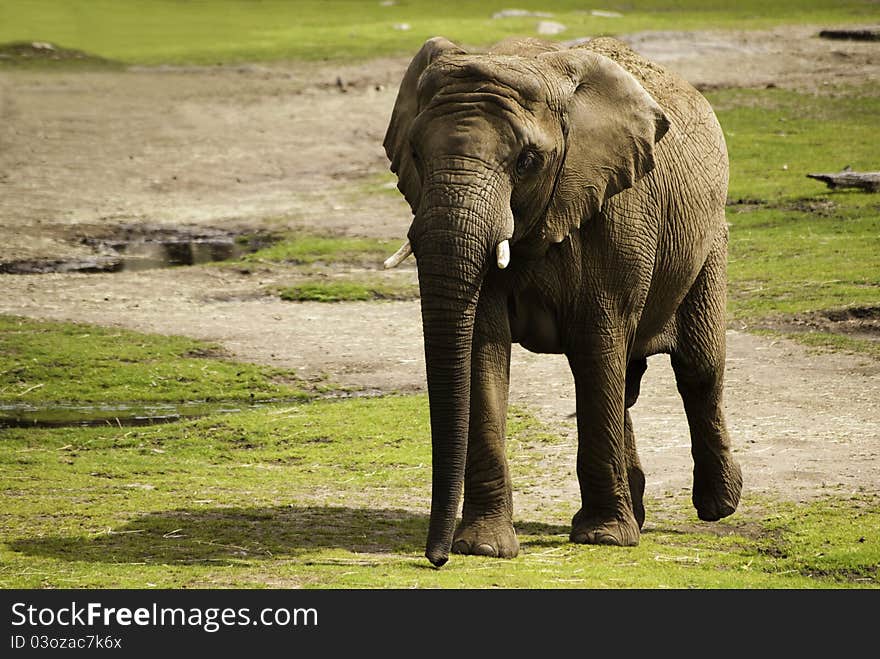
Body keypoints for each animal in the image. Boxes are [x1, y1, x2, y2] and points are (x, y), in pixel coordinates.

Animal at [382, 34, 740, 568]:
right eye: (416, 155)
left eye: (526, 161)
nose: (436, 558)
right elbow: (482, 351)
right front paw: (483, 547)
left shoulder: (617, 215)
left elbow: (596, 343)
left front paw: (604, 539)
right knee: (627, 382)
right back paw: (638, 508)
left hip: (710, 240)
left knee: (698, 368)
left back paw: (719, 506)